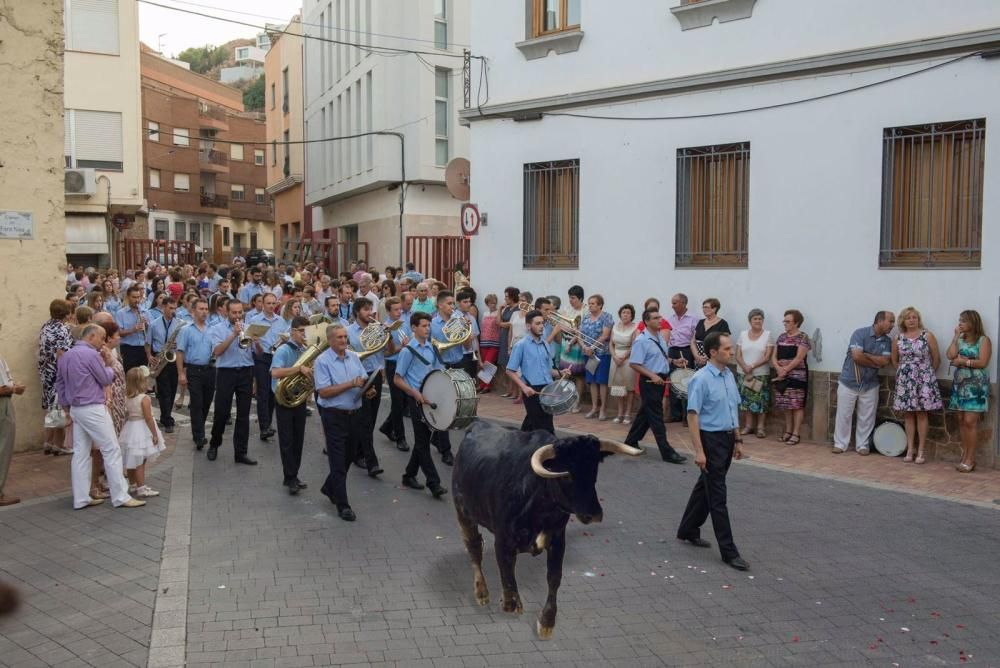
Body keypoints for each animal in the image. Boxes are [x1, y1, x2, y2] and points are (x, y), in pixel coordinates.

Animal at [452, 422, 644, 636]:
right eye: (567, 475)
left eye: (594, 470)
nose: (594, 513)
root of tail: (476, 425)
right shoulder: (503, 540)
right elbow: (507, 573)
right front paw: (510, 603)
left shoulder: (558, 539)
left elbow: (554, 577)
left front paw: (547, 622)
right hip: (464, 512)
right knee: (474, 547)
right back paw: (482, 592)